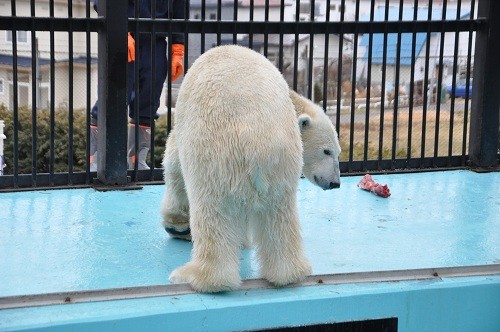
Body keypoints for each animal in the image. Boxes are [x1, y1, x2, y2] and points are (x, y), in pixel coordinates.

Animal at [162, 44, 342, 294]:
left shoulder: (185, 127)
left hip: (215, 159)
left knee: (212, 211)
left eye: (336, 152)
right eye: (328, 151)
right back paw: (288, 273)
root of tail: (257, 145)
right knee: (280, 218)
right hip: (281, 169)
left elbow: (173, 164)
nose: (335, 183)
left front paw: (176, 225)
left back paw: (198, 277)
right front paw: (243, 239)